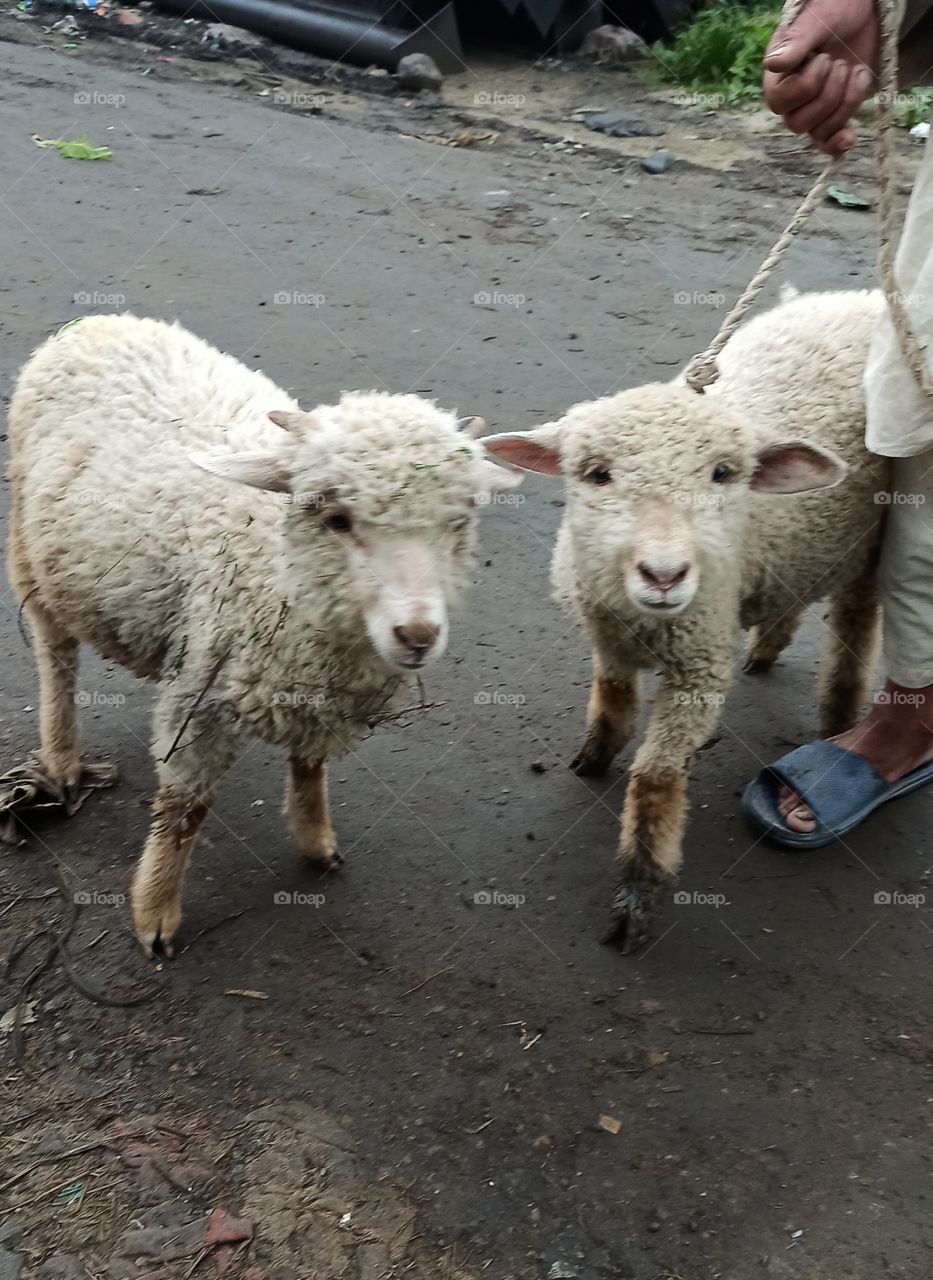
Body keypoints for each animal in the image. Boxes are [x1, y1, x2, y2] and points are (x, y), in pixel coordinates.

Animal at [6, 313, 520, 956]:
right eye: (336, 519)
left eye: (458, 522)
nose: (418, 634)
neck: (278, 573)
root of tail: (100, 321)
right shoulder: (199, 697)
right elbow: (183, 810)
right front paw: (155, 912)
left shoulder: (313, 693)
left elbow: (310, 766)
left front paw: (315, 837)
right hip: (32, 556)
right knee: (56, 659)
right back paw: (61, 759)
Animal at [481, 290, 891, 951]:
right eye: (596, 473)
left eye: (723, 473)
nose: (665, 574)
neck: (644, 622)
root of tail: (861, 296)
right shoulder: (608, 633)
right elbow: (612, 695)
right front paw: (595, 754)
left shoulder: (699, 669)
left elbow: (655, 776)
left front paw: (638, 888)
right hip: (804, 546)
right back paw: (769, 645)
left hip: (871, 537)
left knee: (857, 620)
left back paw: (840, 717)